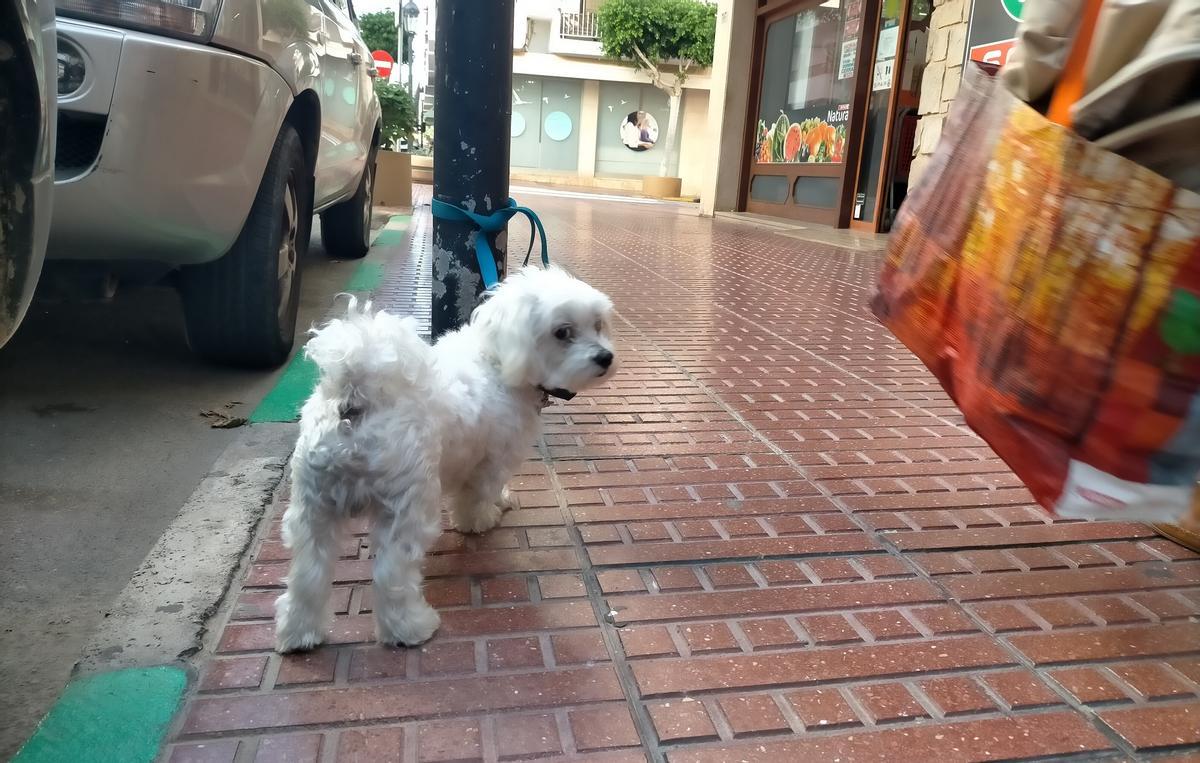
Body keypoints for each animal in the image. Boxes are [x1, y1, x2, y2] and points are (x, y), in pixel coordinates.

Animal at [274, 266, 619, 647]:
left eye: (598, 324)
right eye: (562, 332)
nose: (605, 357)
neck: (496, 361)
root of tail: (357, 398)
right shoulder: (492, 459)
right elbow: (478, 495)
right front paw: (481, 519)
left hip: (312, 508)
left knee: (308, 574)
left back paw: (299, 633)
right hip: (405, 505)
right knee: (391, 575)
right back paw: (411, 628)